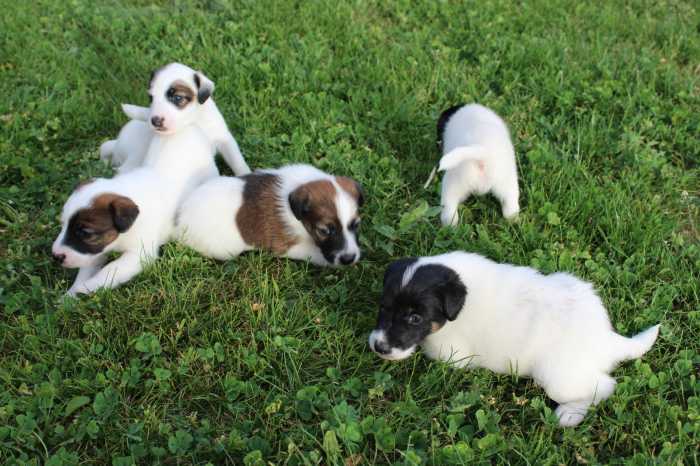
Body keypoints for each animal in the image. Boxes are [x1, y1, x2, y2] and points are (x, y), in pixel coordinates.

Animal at [98, 62, 252, 177]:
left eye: (178, 98)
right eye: (151, 98)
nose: (155, 121)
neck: (194, 122)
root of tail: (118, 142)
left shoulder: (223, 138)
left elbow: (237, 161)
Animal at [175, 164, 364, 266]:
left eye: (356, 225)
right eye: (324, 231)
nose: (349, 259)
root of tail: (180, 221)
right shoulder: (289, 247)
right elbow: (317, 254)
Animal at [370, 253, 660, 428]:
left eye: (415, 318)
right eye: (383, 307)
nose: (379, 347)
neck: (460, 302)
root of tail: (606, 338)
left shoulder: (451, 354)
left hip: (556, 377)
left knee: (605, 386)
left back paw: (570, 414)